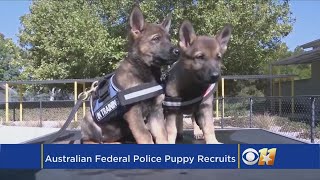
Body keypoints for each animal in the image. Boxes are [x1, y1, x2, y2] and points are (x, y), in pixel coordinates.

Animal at [80, 5, 180, 144]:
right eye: (156, 39)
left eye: (169, 39)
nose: (178, 51)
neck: (146, 72)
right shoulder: (133, 113)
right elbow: (145, 135)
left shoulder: (156, 111)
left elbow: (161, 134)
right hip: (88, 121)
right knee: (90, 140)